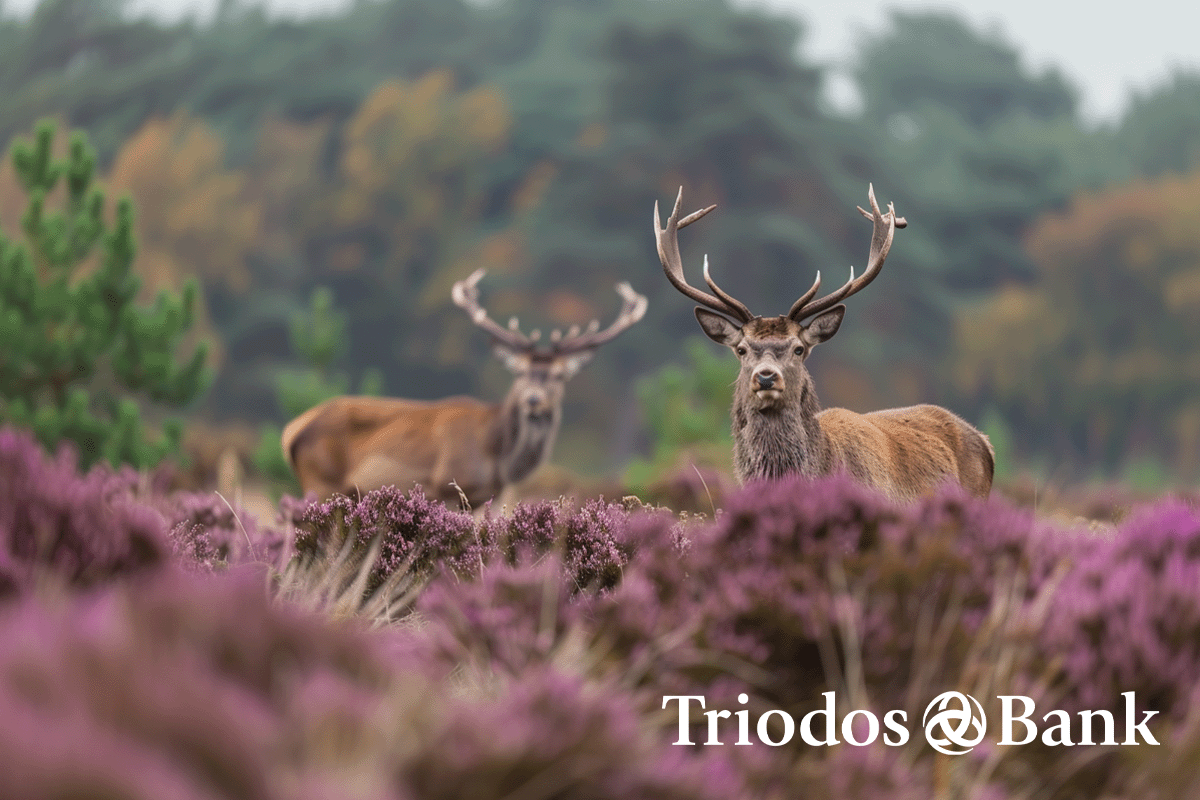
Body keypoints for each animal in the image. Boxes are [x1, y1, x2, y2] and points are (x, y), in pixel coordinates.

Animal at [280, 268, 648, 506]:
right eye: (519, 372)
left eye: (559, 376)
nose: (533, 400)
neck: (498, 459)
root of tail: (291, 431)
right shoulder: (449, 486)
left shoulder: (488, 497)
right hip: (321, 481)